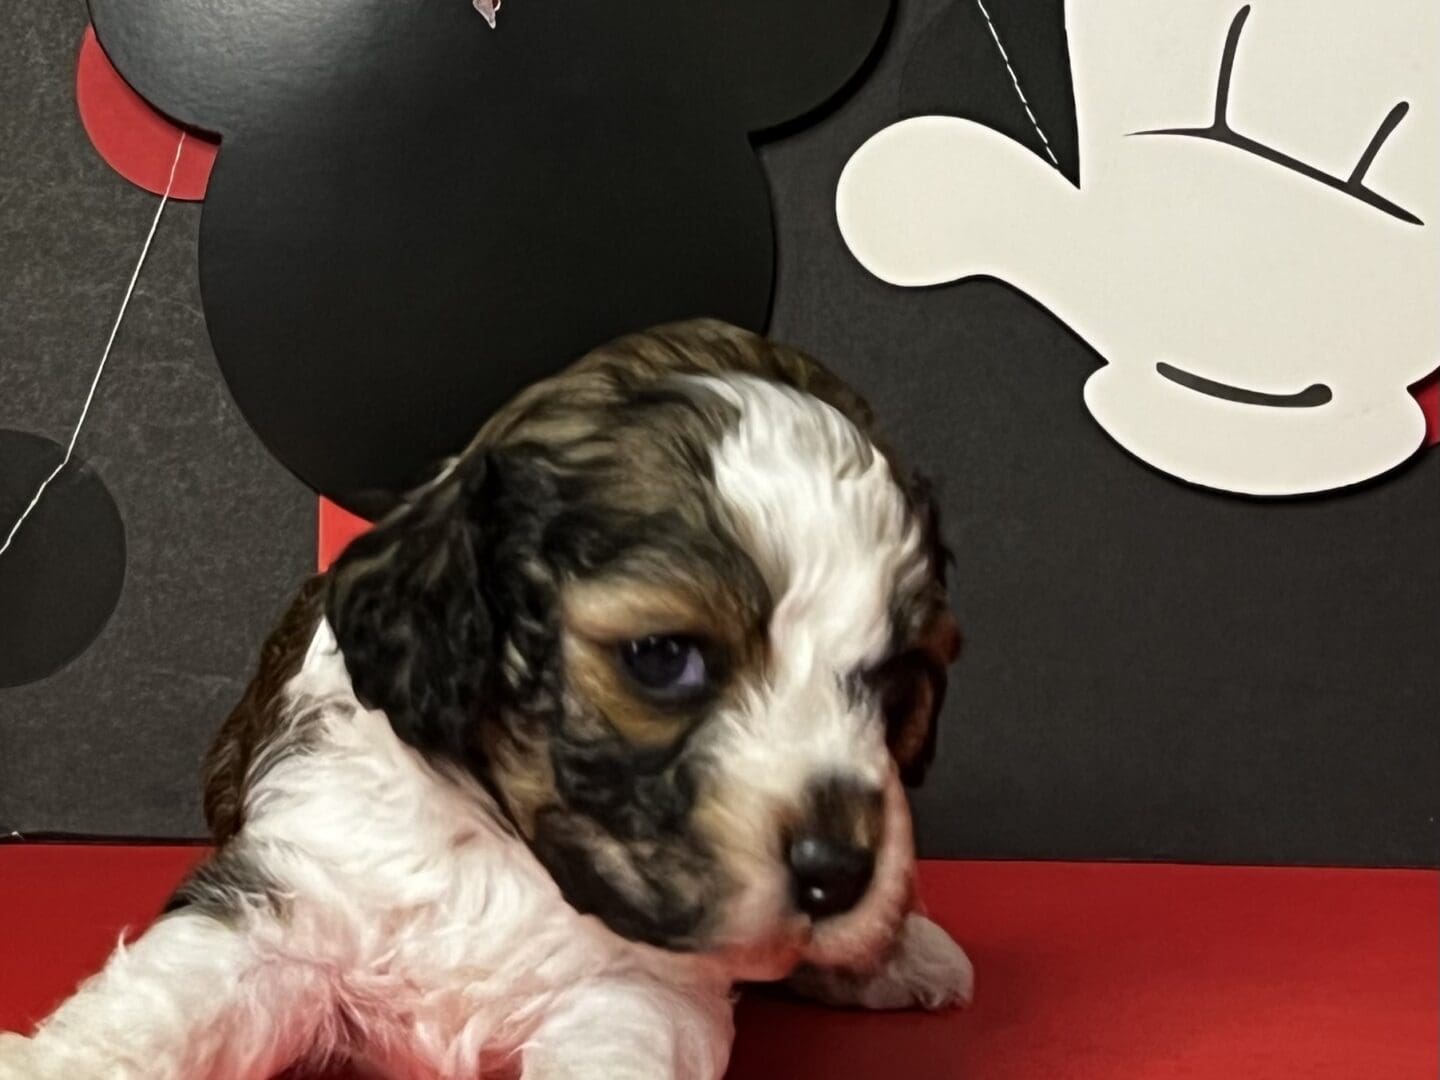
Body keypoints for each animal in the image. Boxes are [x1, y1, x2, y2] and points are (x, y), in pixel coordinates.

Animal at [0, 316, 973, 1077]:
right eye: (663, 657)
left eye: (897, 684)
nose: (839, 871)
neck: (505, 847)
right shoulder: (286, 890)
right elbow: (162, 1003)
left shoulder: (636, 991)